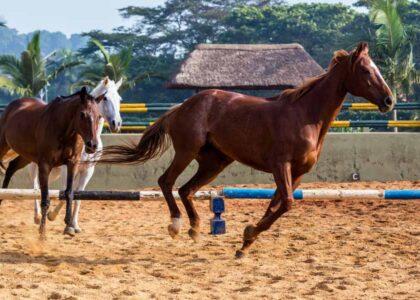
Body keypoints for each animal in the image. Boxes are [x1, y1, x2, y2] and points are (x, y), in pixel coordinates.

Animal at [0, 87, 103, 239]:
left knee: (11, 168)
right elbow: (45, 199)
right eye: (82, 114)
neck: (64, 130)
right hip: (4, 147)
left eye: (99, 116)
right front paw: (42, 233)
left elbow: (69, 192)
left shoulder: (72, 164)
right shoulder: (45, 166)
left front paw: (69, 226)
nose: (93, 145)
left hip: (26, 157)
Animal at [30, 77, 123, 232]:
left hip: (54, 171)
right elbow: (64, 192)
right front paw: (52, 216)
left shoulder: (87, 171)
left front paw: (74, 225)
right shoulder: (66, 169)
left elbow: (78, 196)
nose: (117, 124)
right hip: (36, 165)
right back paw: (37, 216)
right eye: (105, 98)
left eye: (119, 99)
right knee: (35, 184)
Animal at [98, 42, 394, 258]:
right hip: (186, 152)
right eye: (366, 71)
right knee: (167, 182)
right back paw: (176, 225)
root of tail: (181, 107)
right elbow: (287, 203)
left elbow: (276, 206)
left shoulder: (297, 173)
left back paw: (195, 229)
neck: (305, 116)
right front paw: (248, 236)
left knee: (185, 190)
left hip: (215, 162)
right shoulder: (280, 166)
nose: (389, 101)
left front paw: (246, 242)